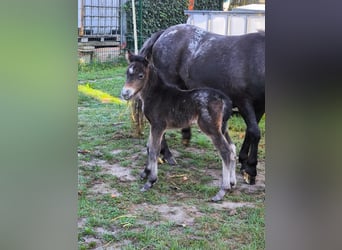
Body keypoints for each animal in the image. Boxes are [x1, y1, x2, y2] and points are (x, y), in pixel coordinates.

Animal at [121, 52, 236, 201]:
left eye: (140, 75)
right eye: (127, 73)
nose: (125, 93)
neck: (155, 94)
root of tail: (224, 99)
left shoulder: (158, 126)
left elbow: (154, 150)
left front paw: (150, 181)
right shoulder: (153, 126)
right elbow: (148, 146)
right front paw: (145, 173)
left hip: (211, 128)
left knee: (225, 151)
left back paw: (223, 190)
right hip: (223, 127)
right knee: (232, 148)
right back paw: (233, 183)